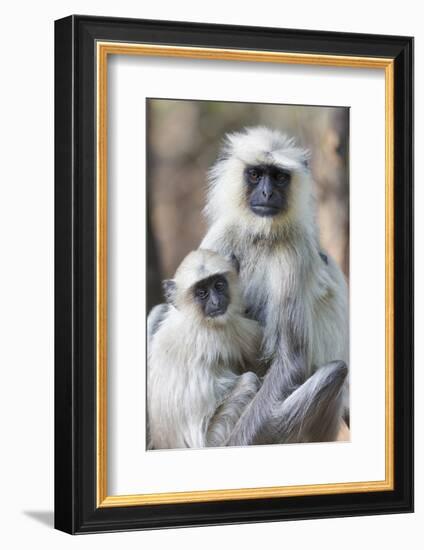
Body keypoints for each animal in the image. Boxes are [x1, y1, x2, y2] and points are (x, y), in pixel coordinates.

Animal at [147, 250, 264, 452]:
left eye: (219, 285)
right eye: (202, 293)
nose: (216, 302)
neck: (192, 318)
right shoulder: (232, 331)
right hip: (216, 438)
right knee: (249, 380)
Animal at [200, 127, 350, 446]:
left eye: (279, 177)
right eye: (256, 174)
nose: (267, 193)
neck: (262, 236)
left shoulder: (294, 251)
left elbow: (291, 362)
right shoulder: (222, 235)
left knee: (335, 371)